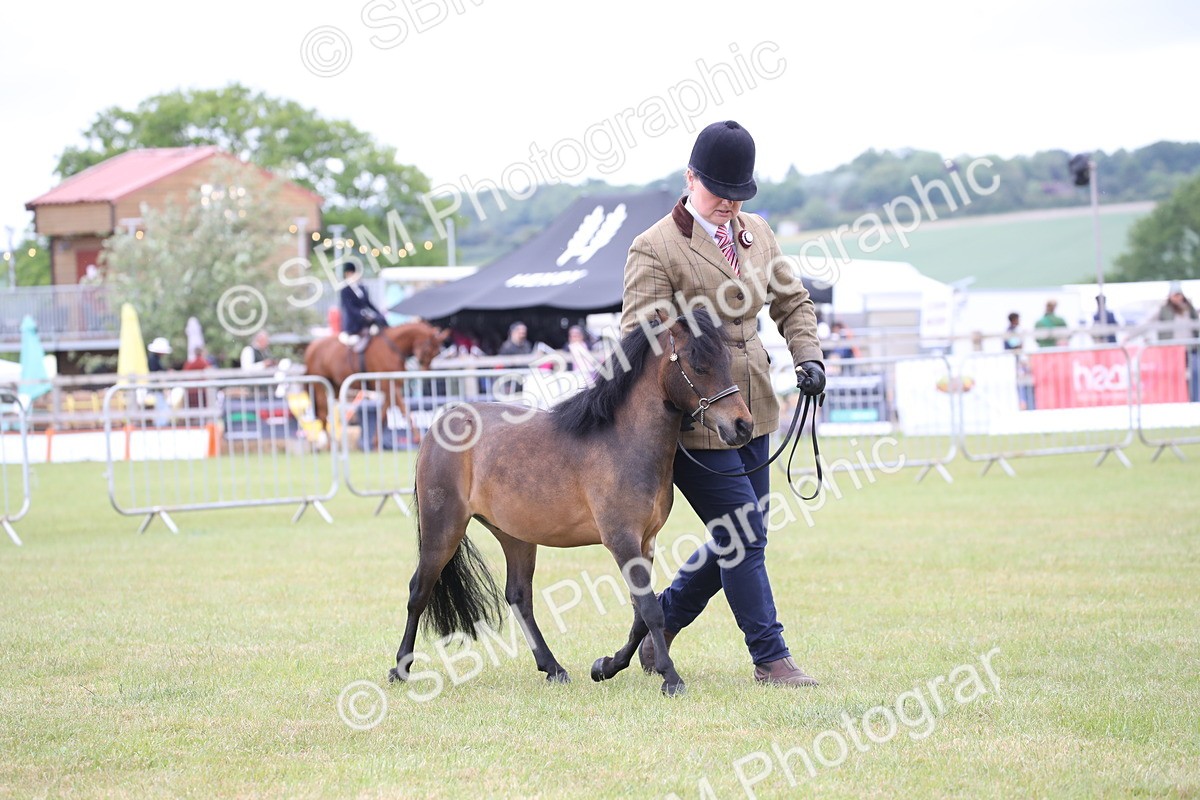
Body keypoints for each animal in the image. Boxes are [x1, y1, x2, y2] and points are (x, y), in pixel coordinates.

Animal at [303, 321, 448, 433]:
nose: (425, 372)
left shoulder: (391, 386)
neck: (392, 348)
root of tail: (311, 347)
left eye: (436, 353)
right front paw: (417, 437)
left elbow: (383, 414)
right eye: (428, 350)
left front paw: (375, 443)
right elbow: (403, 410)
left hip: (335, 386)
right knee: (322, 412)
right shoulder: (388, 384)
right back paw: (325, 444)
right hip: (319, 385)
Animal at [388, 309, 754, 696]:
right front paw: (670, 677)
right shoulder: (622, 541)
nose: (742, 426)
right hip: (443, 529)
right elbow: (651, 610)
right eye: (698, 366)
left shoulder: (646, 542)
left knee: (519, 596)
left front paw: (607, 666)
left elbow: (640, 614)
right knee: (419, 590)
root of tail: (441, 423)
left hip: (515, 536)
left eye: (727, 362)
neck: (622, 440)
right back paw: (400, 669)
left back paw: (553, 667)